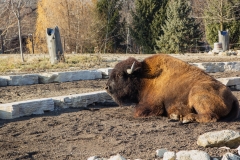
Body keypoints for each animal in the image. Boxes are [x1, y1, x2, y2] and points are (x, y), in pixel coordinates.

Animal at [105, 54, 240, 123]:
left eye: (119, 75)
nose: (107, 87)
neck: (144, 78)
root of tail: (233, 98)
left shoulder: (154, 105)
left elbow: (138, 112)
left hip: (197, 94)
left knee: (210, 116)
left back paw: (184, 118)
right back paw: (177, 116)